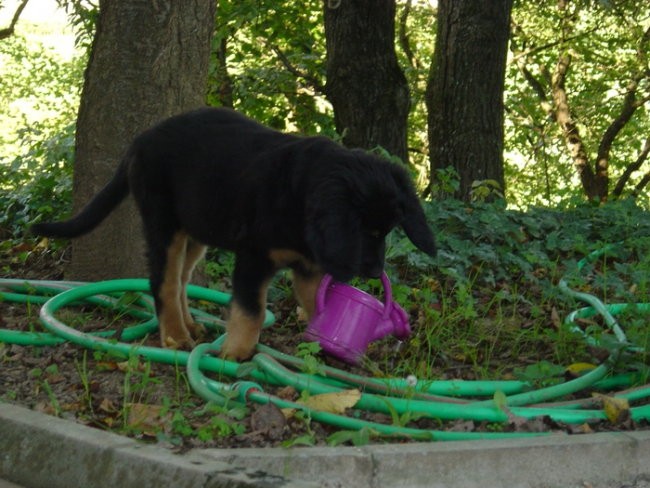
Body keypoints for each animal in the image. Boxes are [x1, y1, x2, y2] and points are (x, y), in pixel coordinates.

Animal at [31, 108, 436, 360]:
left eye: (388, 231)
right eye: (367, 230)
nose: (374, 271)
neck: (300, 197)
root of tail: (139, 141)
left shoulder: (308, 267)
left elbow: (313, 303)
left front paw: (321, 342)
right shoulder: (254, 256)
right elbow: (252, 309)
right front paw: (236, 352)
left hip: (196, 228)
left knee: (182, 278)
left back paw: (190, 325)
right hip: (164, 224)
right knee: (163, 281)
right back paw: (174, 335)